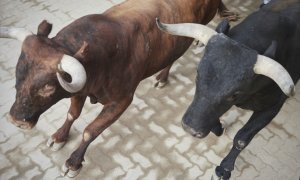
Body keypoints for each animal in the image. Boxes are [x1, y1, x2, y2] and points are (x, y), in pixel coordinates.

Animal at [0, 0, 237, 177]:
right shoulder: (79, 90)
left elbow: (90, 131)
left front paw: (73, 163)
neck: (100, 59)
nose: (16, 120)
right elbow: (72, 114)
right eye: (18, 73)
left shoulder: (122, 101)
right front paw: (59, 137)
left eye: (48, 87)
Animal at [157, 0, 300, 179]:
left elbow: (242, 138)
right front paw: (218, 128)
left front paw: (224, 168)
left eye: (235, 94)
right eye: (197, 74)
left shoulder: (273, 107)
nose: (190, 128)